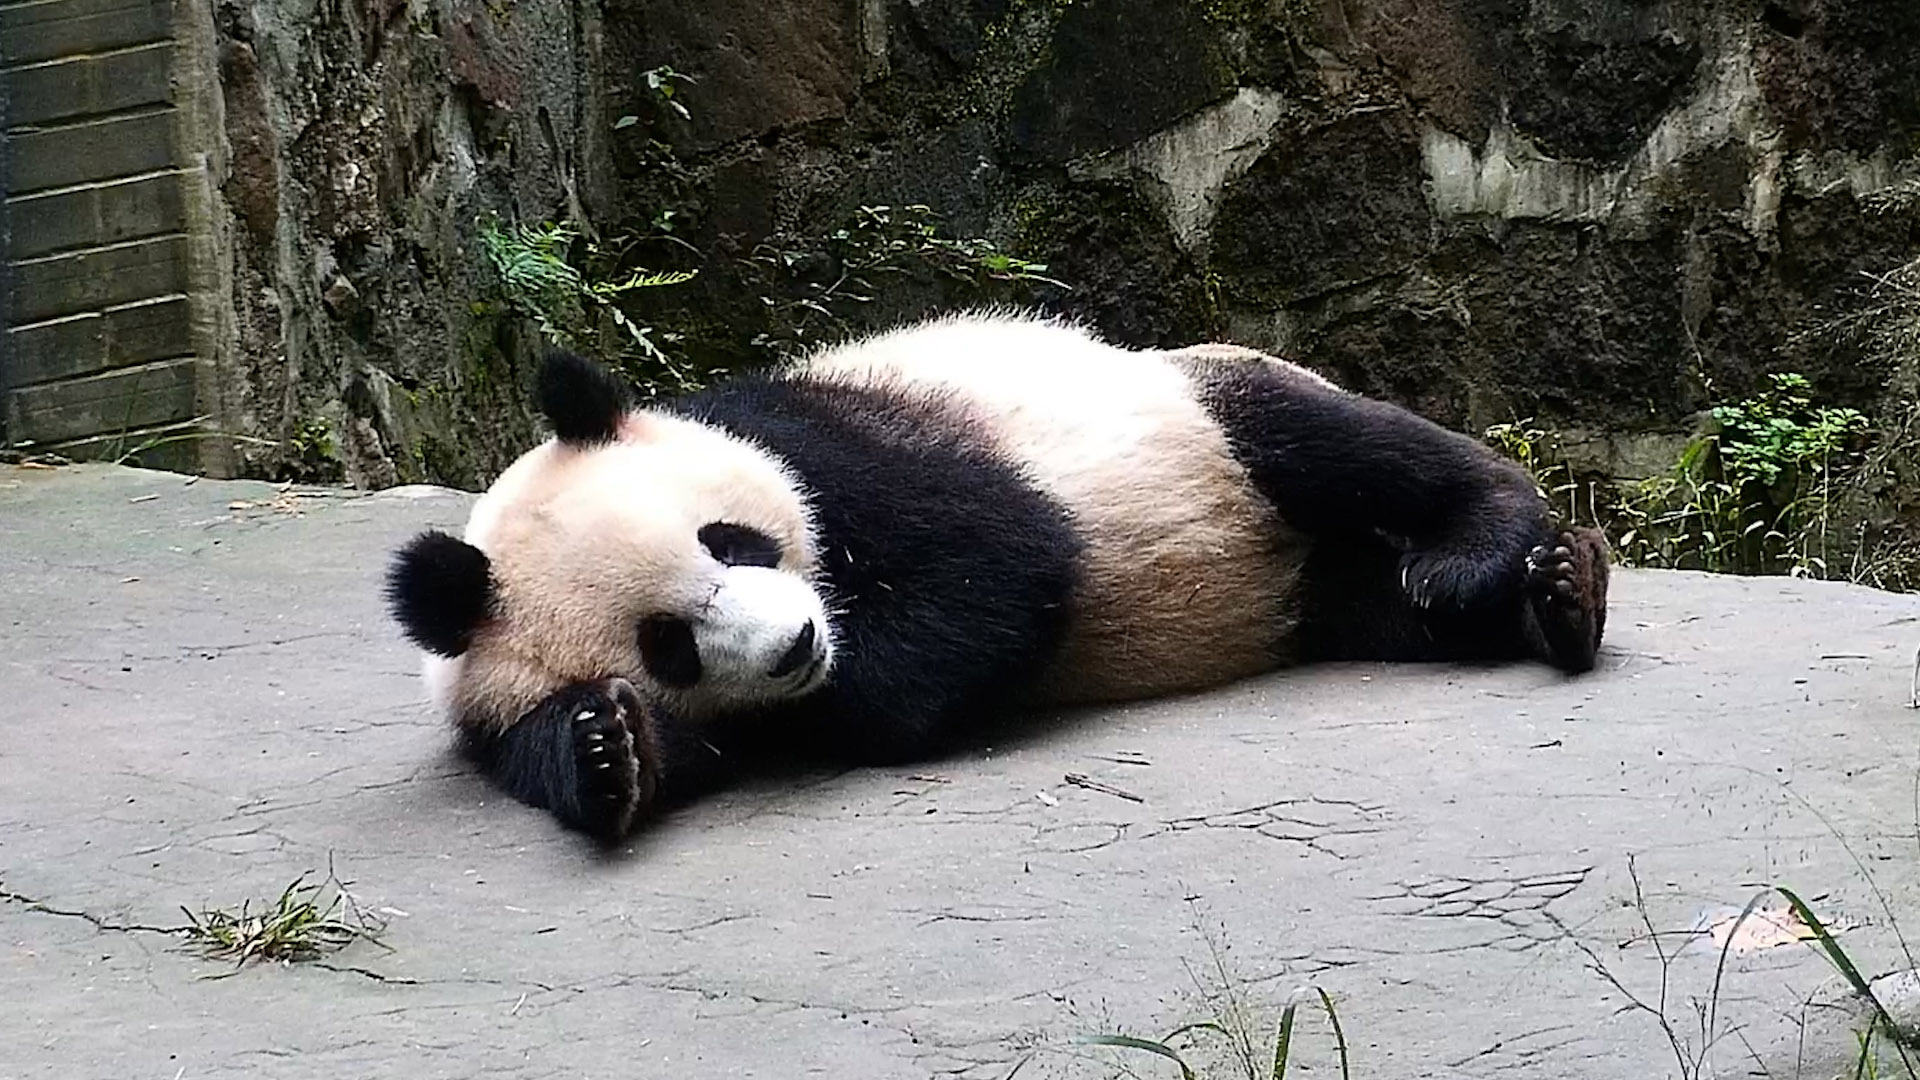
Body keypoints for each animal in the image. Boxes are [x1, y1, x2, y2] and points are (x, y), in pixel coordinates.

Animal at [387, 312, 1609, 842]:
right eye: (667, 645)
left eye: (732, 542)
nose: (796, 646)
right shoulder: (487, 699)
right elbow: (549, 747)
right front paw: (611, 752)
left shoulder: (838, 451)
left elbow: (994, 570)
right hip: (1310, 583)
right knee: (1368, 598)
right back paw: (1539, 602)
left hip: (1200, 405)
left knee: (1338, 445)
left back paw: (1504, 561)